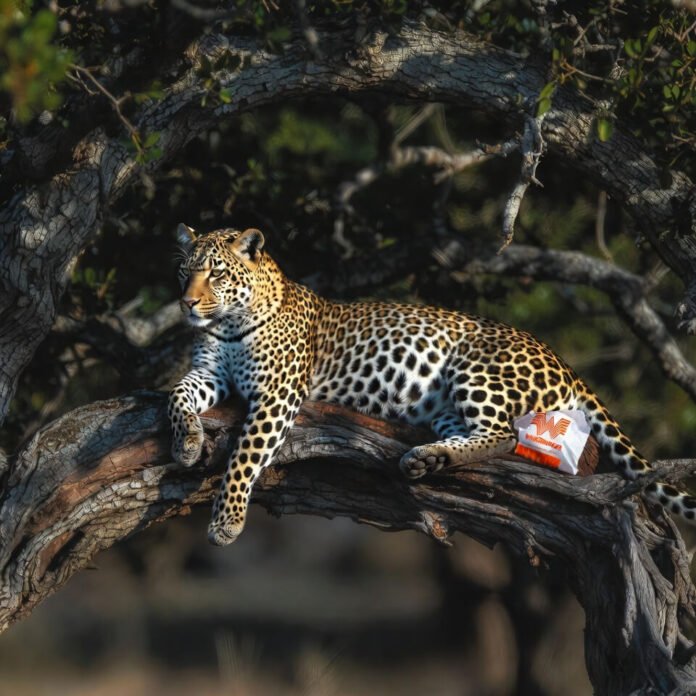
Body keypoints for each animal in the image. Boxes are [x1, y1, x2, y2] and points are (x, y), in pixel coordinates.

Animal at [169, 224, 696, 546]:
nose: (186, 304)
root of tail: (563, 361)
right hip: (445, 405)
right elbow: (176, 394)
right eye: (184, 272)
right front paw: (188, 441)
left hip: (475, 367)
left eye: (216, 272)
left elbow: (245, 454)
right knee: (487, 437)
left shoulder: (277, 394)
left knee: (505, 434)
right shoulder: (208, 373)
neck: (228, 323)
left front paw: (227, 520)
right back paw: (428, 459)